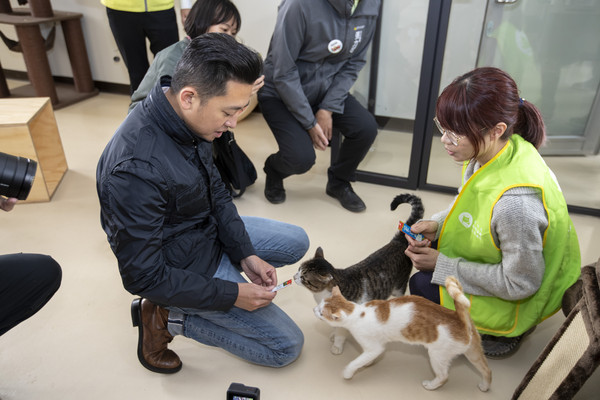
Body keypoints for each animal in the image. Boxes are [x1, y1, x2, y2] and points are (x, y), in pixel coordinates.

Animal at [312, 276, 490, 392]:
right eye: (319, 305)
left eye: (321, 312)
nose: (314, 310)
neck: (359, 313)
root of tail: (459, 318)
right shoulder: (377, 347)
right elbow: (367, 359)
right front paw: (368, 364)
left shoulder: (373, 347)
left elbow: (356, 362)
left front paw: (348, 373)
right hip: (473, 353)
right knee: (487, 370)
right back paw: (484, 386)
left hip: (437, 355)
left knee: (444, 376)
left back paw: (430, 385)